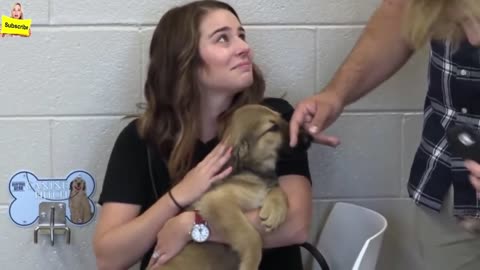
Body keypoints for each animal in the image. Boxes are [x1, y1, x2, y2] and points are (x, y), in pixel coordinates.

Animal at [150, 104, 314, 270]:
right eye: (273, 128)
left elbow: (277, 188)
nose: (309, 137)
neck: (252, 172)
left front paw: (275, 210)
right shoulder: (218, 202)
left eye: (281, 118)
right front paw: (250, 264)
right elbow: (252, 237)